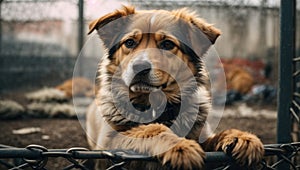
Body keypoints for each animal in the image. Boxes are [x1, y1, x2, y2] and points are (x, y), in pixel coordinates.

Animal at [85, 5, 264, 169]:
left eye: (167, 44)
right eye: (129, 42)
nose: (140, 67)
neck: (155, 106)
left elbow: (216, 136)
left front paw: (241, 137)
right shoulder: (107, 146)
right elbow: (149, 130)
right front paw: (180, 146)